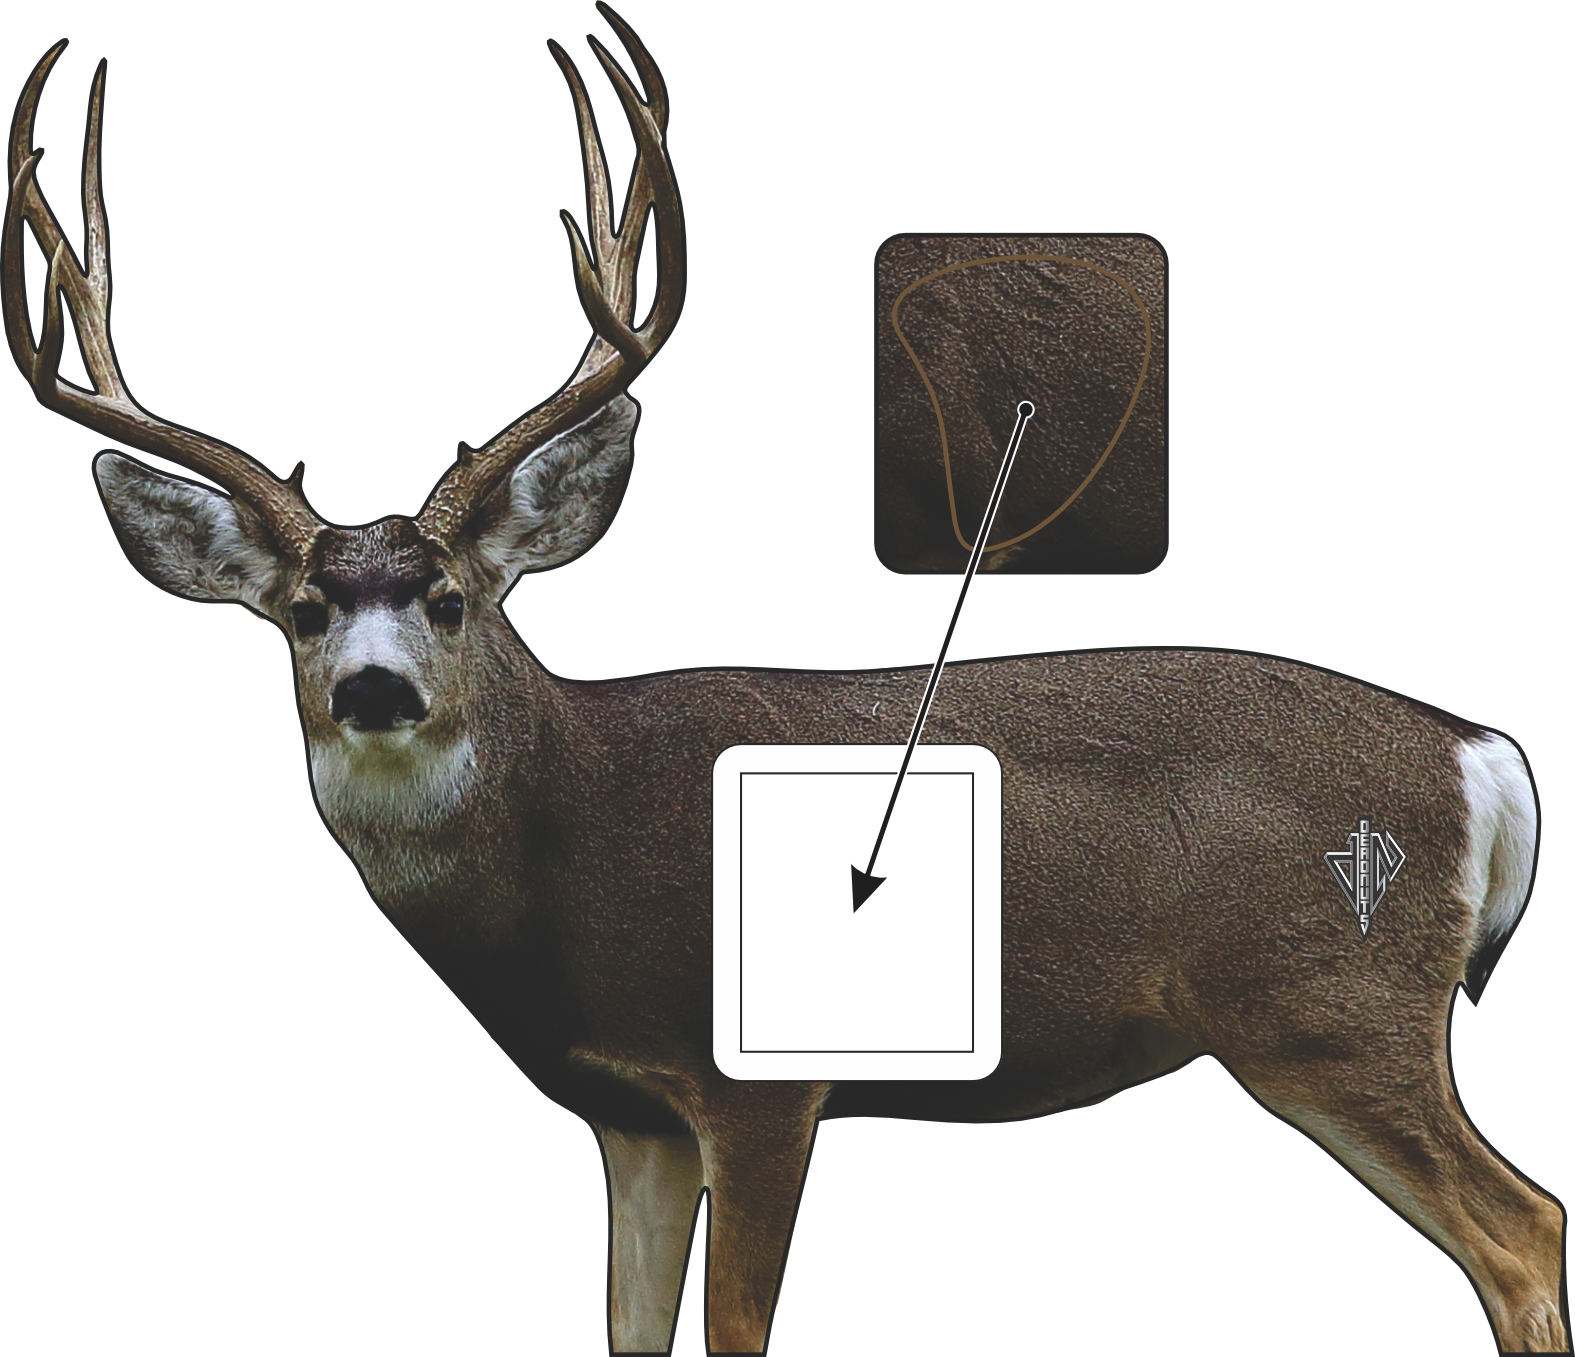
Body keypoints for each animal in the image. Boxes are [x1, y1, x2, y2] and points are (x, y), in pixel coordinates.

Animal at [5, 8, 1568, 1354]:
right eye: (302, 610)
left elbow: (739, 1329)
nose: (375, 689)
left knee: (1521, 1227)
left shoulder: (762, 1083)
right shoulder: (628, 1112)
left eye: (451, 599)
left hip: (1329, 1004)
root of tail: (1477, 751)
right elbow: (627, 1328)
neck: (573, 838)